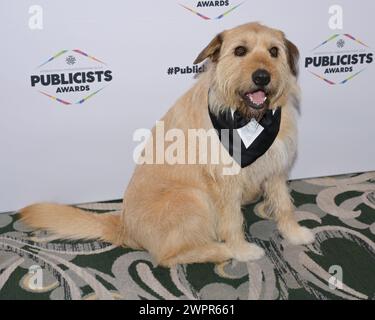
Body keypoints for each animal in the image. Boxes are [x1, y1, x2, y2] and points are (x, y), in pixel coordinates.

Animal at [19, 22, 314, 266]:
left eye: (274, 51)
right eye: (240, 50)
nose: (262, 77)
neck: (250, 120)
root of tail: (123, 225)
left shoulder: (276, 168)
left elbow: (284, 205)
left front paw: (293, 233)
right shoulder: (225, 182)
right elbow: (232, 221)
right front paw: (241, 250)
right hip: (192, 197)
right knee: (166, 257)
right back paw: (221, 250)